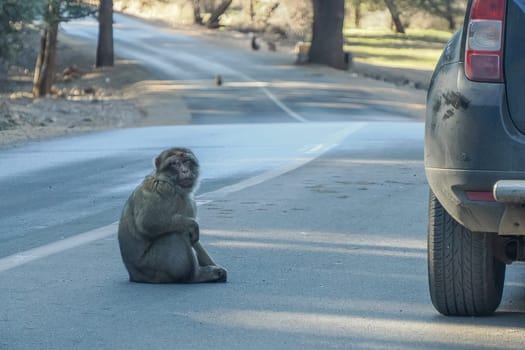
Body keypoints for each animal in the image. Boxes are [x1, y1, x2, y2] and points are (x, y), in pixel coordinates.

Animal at [117, 148, 226, 284]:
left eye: (186, 161)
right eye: (175, 164)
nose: (185, 171)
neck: (172, 184)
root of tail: (134, 276)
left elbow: (194, 240)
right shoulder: (163, 191)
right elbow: (147, 222)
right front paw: (192, 224)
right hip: (154, 266)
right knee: (176, 234)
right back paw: (195, 276)